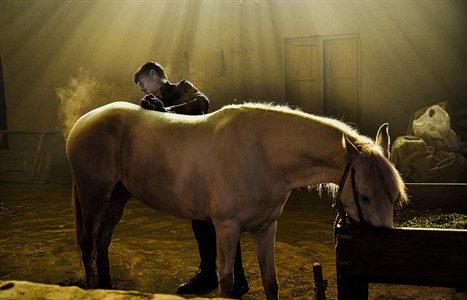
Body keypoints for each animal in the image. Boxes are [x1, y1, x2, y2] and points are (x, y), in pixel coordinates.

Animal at [66, 101, 410, 300]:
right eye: (365, 196)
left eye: (395, 197)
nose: (386, 248)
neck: (264, 154)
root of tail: (82, 122)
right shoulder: (226, 228)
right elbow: (227, 283)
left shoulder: (266, 227)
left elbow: (271, 283)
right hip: (94, 197)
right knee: (88, 243)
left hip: (116, 198)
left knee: (103, 241)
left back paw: (108, 288)